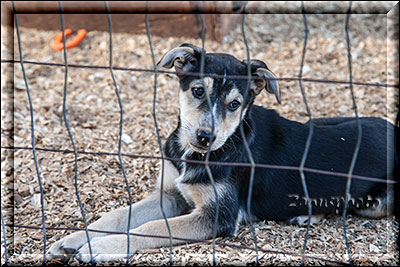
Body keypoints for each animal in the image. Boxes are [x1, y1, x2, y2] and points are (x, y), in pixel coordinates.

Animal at [48, 43, 396, 262]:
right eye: (198, 91)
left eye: (234, 105)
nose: (205, 137)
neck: (196, 156)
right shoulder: (169, 195)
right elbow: (119, 214)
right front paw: (73, 238)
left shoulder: (217, 216)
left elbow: (152, 228)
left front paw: (103, 245)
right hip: (319, 121)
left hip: (378, 203)